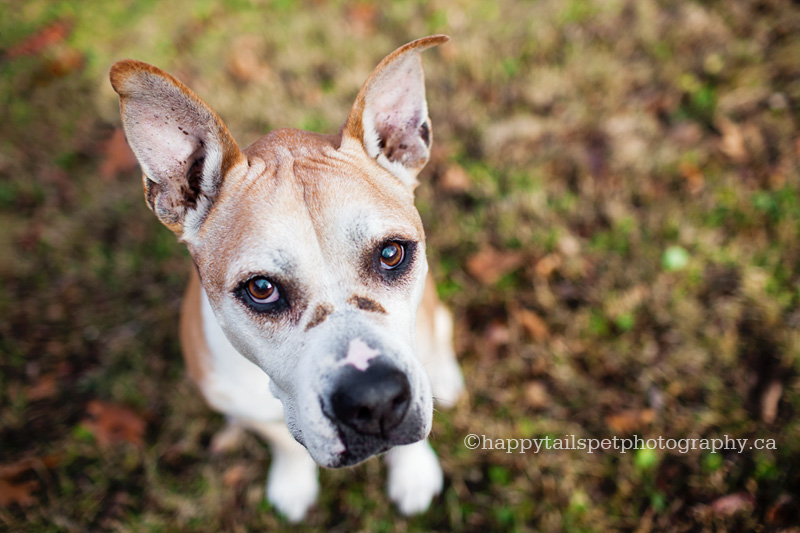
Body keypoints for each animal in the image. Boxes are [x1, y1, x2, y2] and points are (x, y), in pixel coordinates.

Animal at [109, 36, 466, 520]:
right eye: (261, 289)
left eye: (391, 253)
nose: (374, 399)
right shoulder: (243, 405)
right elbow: (282, 442)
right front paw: (294, 482)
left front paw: (412, 473)